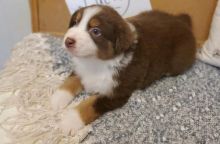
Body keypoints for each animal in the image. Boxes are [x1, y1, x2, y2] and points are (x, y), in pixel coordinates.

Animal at [50, 4, 196, 135]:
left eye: (96, 31)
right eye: (75, 22)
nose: (68, 41)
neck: (96, 62)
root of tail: (182, 21)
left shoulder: (117, 92)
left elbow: (90, 104)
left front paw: (69, 121)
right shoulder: (81, 69)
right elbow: (70, 81)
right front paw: (56, 99)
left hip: (178, 64)